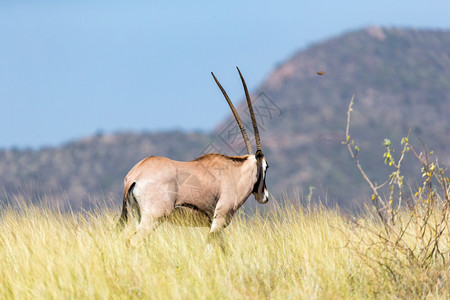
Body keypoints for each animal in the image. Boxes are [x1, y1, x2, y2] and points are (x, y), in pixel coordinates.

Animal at [118, 68, 268, 246]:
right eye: (266, 167)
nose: (265, 196)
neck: (235, 173)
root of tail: (134, 175)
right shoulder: (219, 219)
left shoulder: (213, 224)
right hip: (152, 218)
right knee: (132, 242)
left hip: (139, 216)